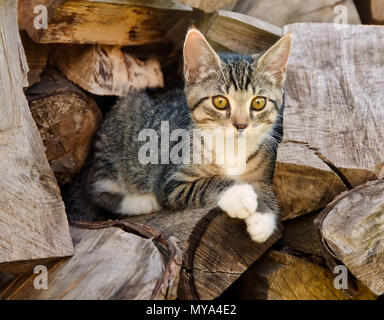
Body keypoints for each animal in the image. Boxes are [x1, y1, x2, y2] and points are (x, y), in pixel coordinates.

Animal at [66, 28, 292, 242]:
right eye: (220, 102)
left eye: (258, 102)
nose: (241, 125)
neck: (232, 148)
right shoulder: (170, 182)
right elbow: (206, 183)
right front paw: (238, 194)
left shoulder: (265, 171)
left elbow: (267, 189)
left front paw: (263, 218)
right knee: (98, 192)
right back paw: (142, 201)